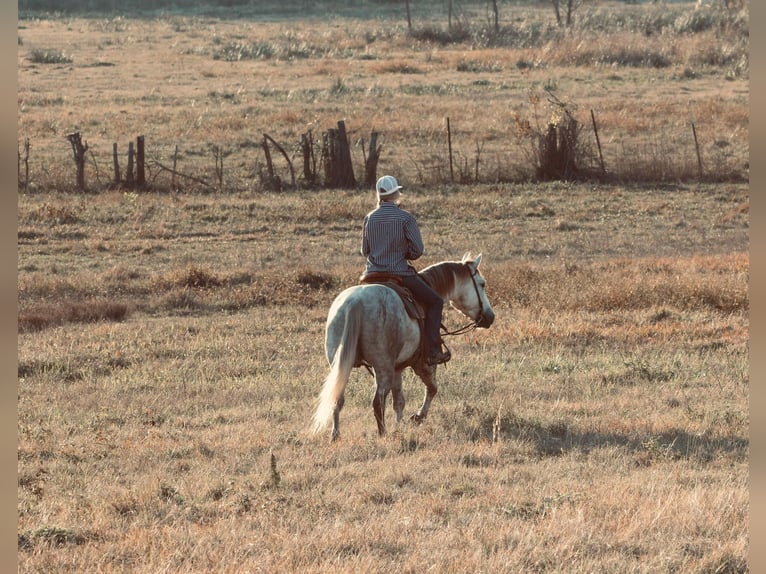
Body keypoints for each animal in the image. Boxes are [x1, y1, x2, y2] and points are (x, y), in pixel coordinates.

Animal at [312, 254, 498, 444]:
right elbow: (432, 388)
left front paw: (399, 427)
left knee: (338, 397)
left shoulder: (398, 368)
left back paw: (335, 435)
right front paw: (417, 417)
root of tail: (354, 303)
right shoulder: (423, 364)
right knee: (378, 401)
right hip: (383, 367)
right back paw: (382, 433)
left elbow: (399, 401)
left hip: (341, 365)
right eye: (482, 283)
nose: (490, 317)